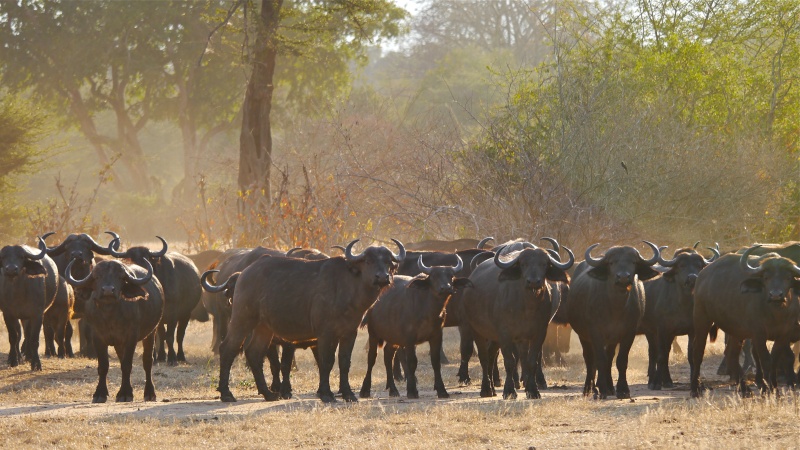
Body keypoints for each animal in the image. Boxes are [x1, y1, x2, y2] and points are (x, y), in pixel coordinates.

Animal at [66, 258, 166, 402]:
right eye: (97, 277)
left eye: (120, 277)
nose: (108, 290)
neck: (110, 315)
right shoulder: (98, 337)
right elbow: (103, 366)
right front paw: (100, 393)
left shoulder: (131, 337)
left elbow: (127, 365)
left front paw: (125, 394)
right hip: (119, 343)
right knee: (121, 358)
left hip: (151, 332)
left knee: (147, 361)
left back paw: (149, 393)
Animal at [214, 239, 406, 404]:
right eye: (367, 261)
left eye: (388, 261)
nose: (382, 277)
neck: (348, 287)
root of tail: (244, 273)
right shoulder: (325, 333)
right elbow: (326, 361)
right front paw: (327, 394)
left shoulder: (349, 333)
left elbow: (344, 362)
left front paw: (348, 394)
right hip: (242, 318)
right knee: (228, 348)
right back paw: (226, 393)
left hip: (264, 327)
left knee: (254, 352)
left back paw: (268, 393)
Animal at [360, 255, 472, 400]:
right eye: (434, 276)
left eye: (451, 276)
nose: (446, 288)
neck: (427, 310)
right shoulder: (409, 339)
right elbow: (412, 362)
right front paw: (412, 390)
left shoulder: (436, 336)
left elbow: (436, 362)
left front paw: (441, 390)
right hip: (373, 334)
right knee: (372, 358)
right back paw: (365, 390)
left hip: (393, 338)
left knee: (388, 355)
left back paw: (393, 389)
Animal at [564, 241, 660, 400]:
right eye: (611, 262)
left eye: (633, 262)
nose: (623, 277)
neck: (616, 307)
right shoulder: (595, 332)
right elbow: (600, 360)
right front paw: (601, 389)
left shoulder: (628, 333)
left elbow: (621, 360)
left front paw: (622, 390)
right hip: (583, 335)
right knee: (590, 359)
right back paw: (589, 389)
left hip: (612, 339)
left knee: (609, 358)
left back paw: (609, 388)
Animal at [688, 246, 800, 398]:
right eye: (766, 277)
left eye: (788, 277)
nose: (776, 295)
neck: (776, 313)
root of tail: (702, 275)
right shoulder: (758, 334)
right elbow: (766, 360)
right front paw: (769, 389)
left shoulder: (784, 335)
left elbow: (775, 360)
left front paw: (773, 388)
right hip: (701, 317)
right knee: (698, 351)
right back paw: (695, 388)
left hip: (735, 329)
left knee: (731, 354)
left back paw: (745, 389)